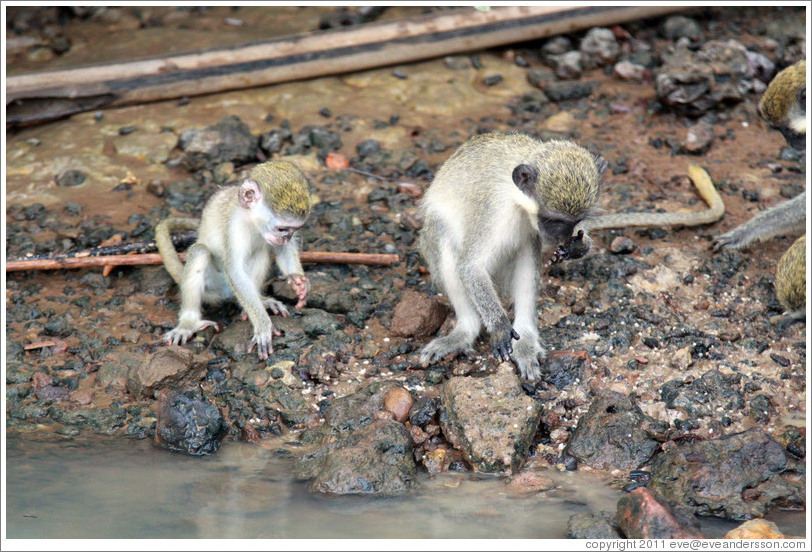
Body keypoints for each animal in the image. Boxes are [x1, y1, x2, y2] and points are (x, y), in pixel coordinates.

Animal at [155, 161, 310, 358]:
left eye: (293, 230)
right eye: (282, 229)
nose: (286, 238)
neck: (251, 220)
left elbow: (281, 251)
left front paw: (298, 281)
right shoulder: (236, 226)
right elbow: (234, 270)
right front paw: (263, 326)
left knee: (260, 251)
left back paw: (260, 300)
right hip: (213, 283)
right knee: (200, 252)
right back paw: (188, 323)